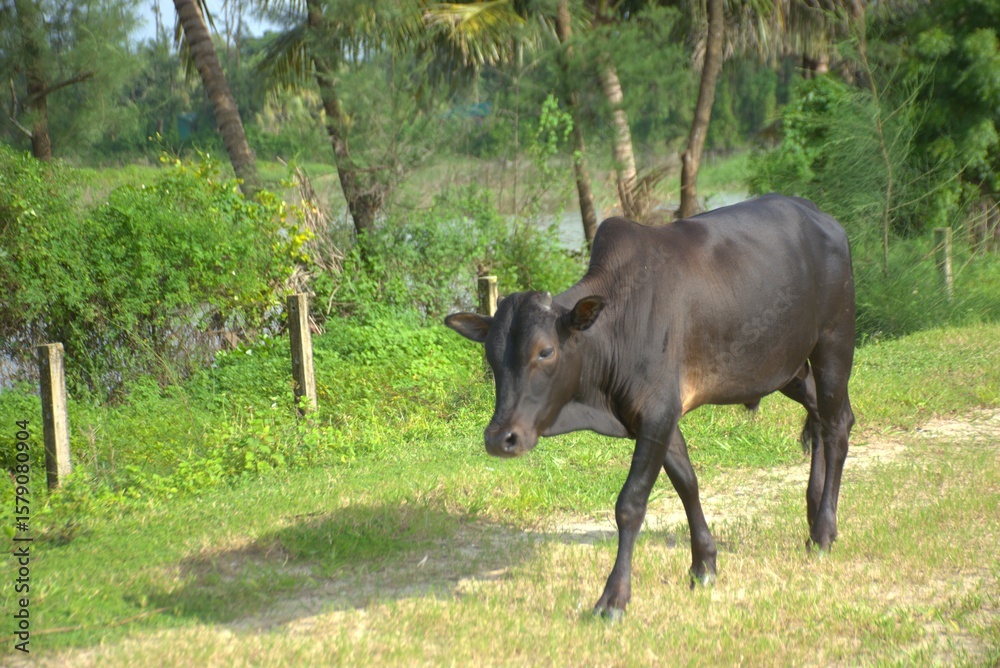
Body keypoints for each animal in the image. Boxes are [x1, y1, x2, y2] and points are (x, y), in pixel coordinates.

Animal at [444, 194, 856, 618]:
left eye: (545, 351)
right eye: (491, 356)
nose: (500, 438)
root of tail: (823, 218)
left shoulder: (657, 414)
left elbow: (631, 503)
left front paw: (614, 598)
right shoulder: (659, 418)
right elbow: (687, 483)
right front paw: (704, 564)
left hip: (834, 344)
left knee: (838, 425)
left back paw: (823, 531)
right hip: (787, 367)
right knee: (820, 417)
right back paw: (812, 511)